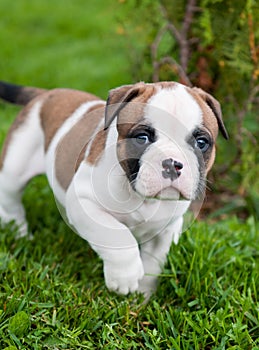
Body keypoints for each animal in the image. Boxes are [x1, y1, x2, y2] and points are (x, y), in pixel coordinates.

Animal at [0, 80, 228, 296]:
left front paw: (142, 296)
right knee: (11, 203)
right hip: (14, 168)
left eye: (201, 142)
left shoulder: (167, 229)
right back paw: (20, 234)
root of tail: (45, 95)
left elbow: (154, 263)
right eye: (142, 137)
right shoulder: (84, 203)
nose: (172, 163)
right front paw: (125, 278)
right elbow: (118, 237)